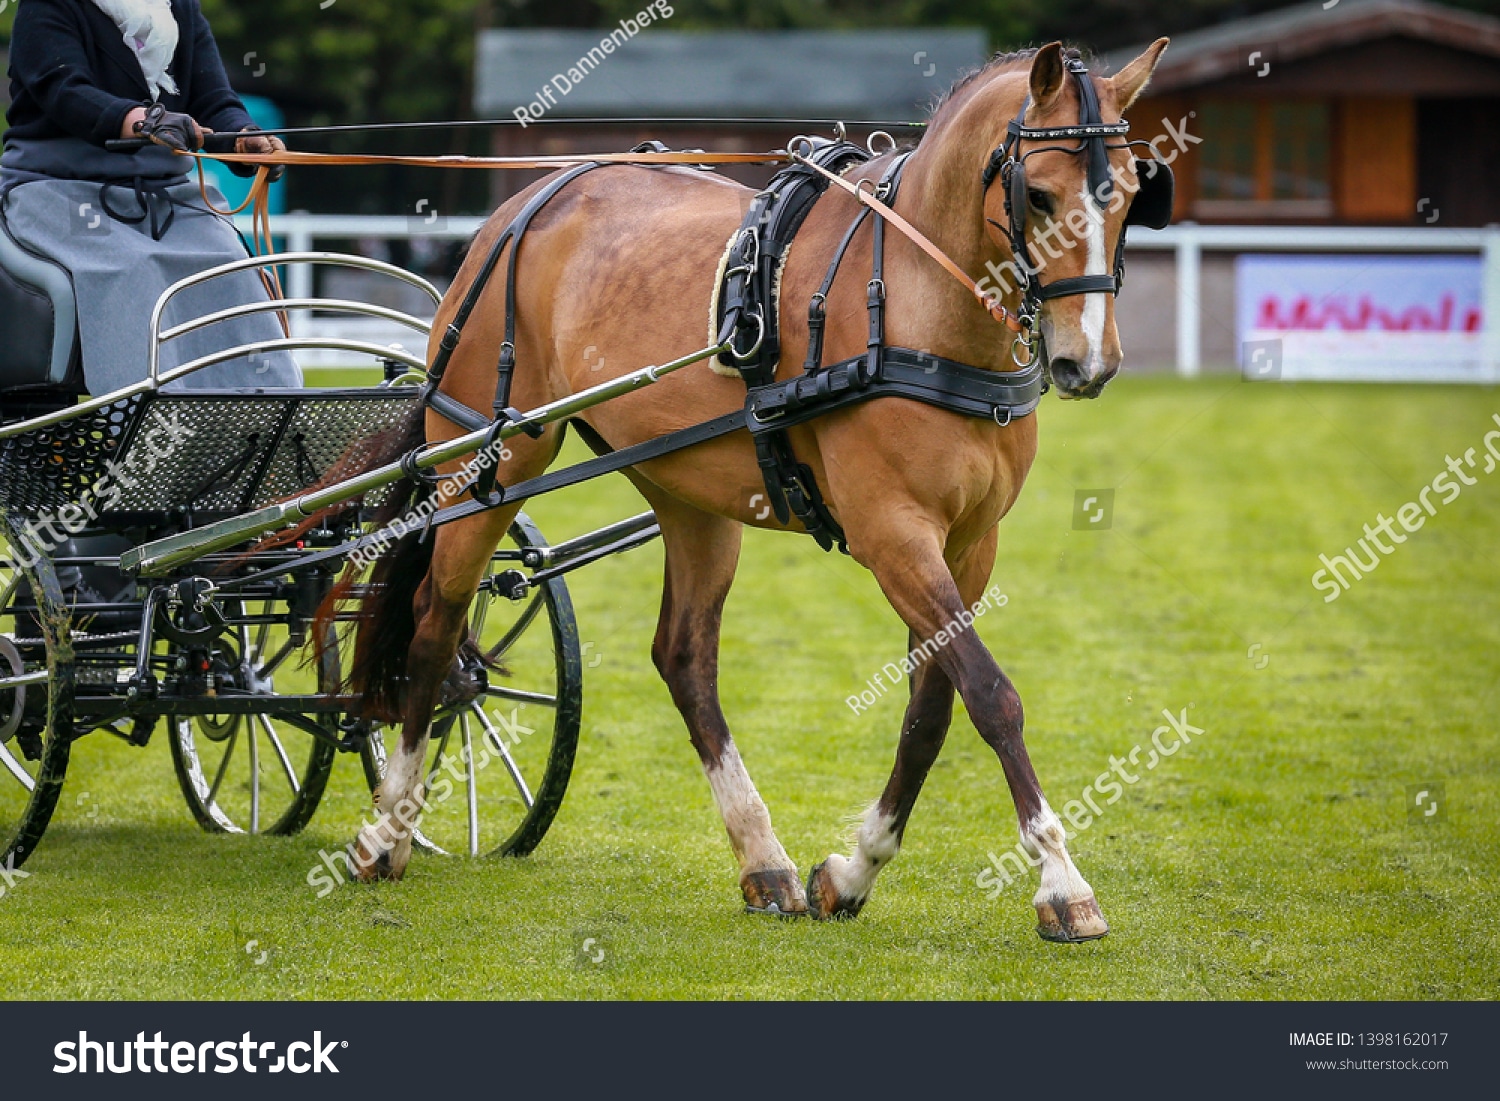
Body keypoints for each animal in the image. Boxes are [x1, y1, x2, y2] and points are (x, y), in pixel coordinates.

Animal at [345, 38, 1170, 942]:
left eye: (1132, 195)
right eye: (1041, 193)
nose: (1087, 362)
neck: (916, 303)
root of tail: (524, 202)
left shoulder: (969, 543)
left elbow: (931, 711)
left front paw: (852, 871)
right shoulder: (893, 534)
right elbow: (991, 695)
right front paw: (1061, 880)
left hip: (690, 493)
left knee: (683, 657)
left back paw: (762, 857)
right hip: (488, 461)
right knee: (435, 626)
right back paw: (387, 830)